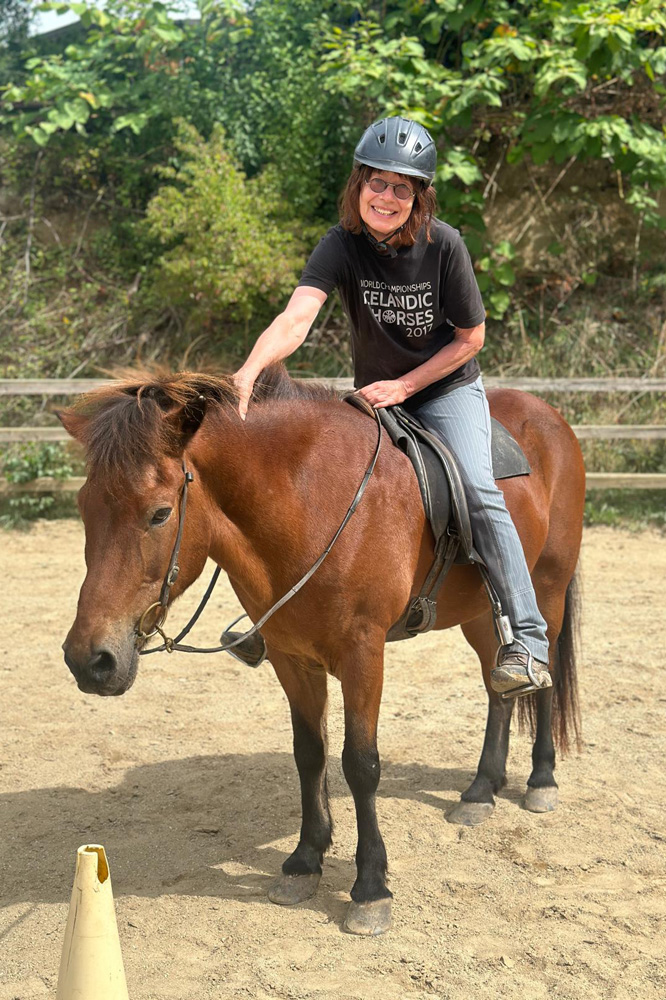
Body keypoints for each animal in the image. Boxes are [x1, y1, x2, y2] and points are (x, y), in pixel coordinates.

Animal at [60, 363, 584, 936]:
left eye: (158, 514)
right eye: (83, 507)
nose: (89, 660)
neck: (310, 499)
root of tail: (550, 415)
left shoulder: (363, 654)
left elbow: (360, 763)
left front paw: (371, 887)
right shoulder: (292, 659)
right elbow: (309, 754)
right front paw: (304, 861)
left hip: (547, 587)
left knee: (542, 675)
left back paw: (541, 779)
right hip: (477, 614)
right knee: (497, 687)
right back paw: (481, 789)